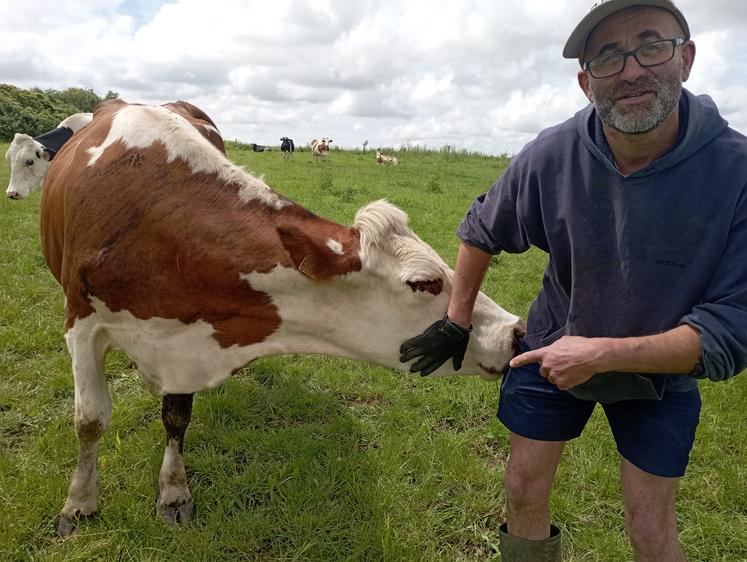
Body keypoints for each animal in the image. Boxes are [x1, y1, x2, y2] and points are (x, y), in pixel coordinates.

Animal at [39, 97, 520, 532]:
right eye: (424, 283)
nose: (516, 331)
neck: (156, 226)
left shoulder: (186, 338)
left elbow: (176, 416)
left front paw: (173, 492)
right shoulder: (82, 325)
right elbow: (89, 420)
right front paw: (79, 503)